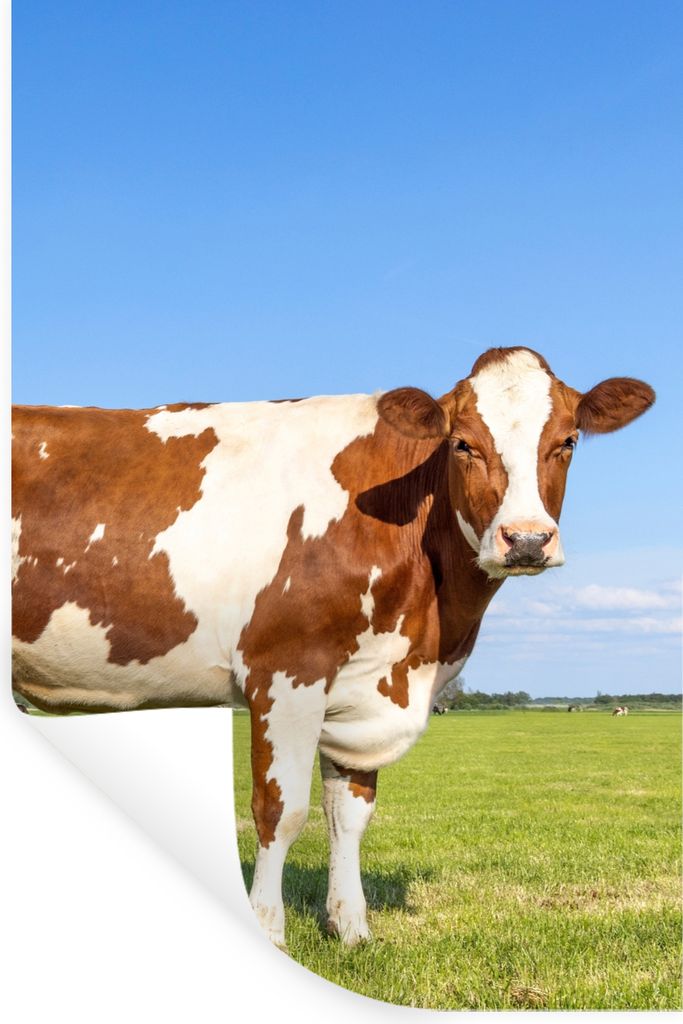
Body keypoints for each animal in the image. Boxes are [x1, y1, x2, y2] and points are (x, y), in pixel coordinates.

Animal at [11, 346, 654, 948]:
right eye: (463, 444)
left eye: (567, 441)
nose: (525, 540)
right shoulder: (285, 671)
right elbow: (281, 810)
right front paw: (269, 931)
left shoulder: (364, 685)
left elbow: (349, 814)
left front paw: (350, 927)